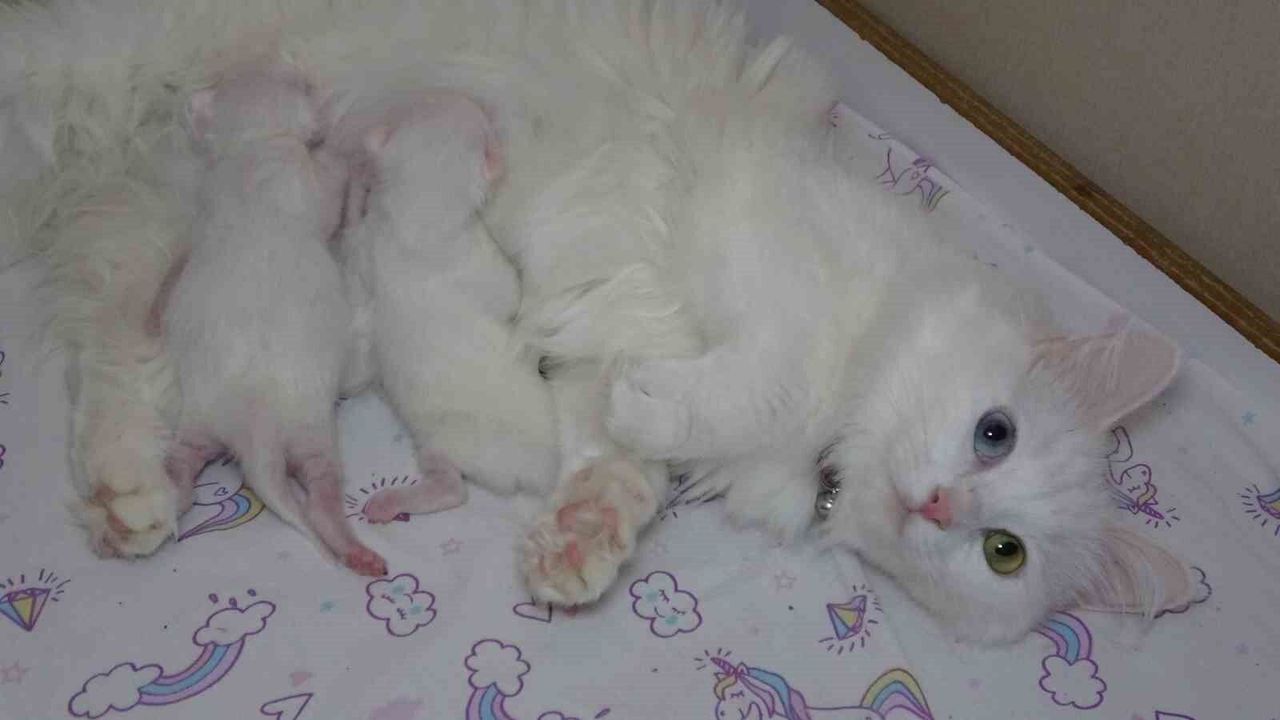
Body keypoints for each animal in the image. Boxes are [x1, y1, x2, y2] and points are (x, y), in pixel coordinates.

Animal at [162, 61, 386, 576]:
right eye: (296, 80)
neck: (253, 142)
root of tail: (254, 427)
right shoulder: (308, 174)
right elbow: (334, 184)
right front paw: (354, 158)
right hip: (309, 430)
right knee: (322, 493)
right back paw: (353, 549)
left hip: (199, 419)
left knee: (181, 462)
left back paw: (171, 496)